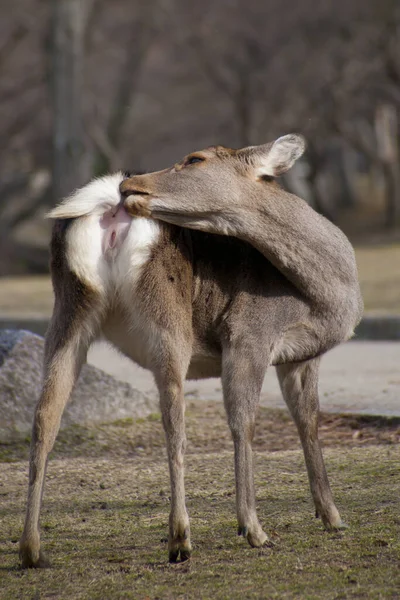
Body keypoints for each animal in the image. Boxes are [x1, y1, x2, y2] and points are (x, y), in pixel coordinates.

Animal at [18, 135, 362, 568]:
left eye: (195, 159)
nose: (129, 186)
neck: (325, 297)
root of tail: (106, 210)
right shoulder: (249, 332)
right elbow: (243, 423)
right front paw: (253, 528)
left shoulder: (301, 356)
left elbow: (309, 421)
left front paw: (332, 516)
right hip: (168, 320)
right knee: (174, 423)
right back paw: (180, 538)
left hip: (67, 311)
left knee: (45, 417)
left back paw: (30, 549)